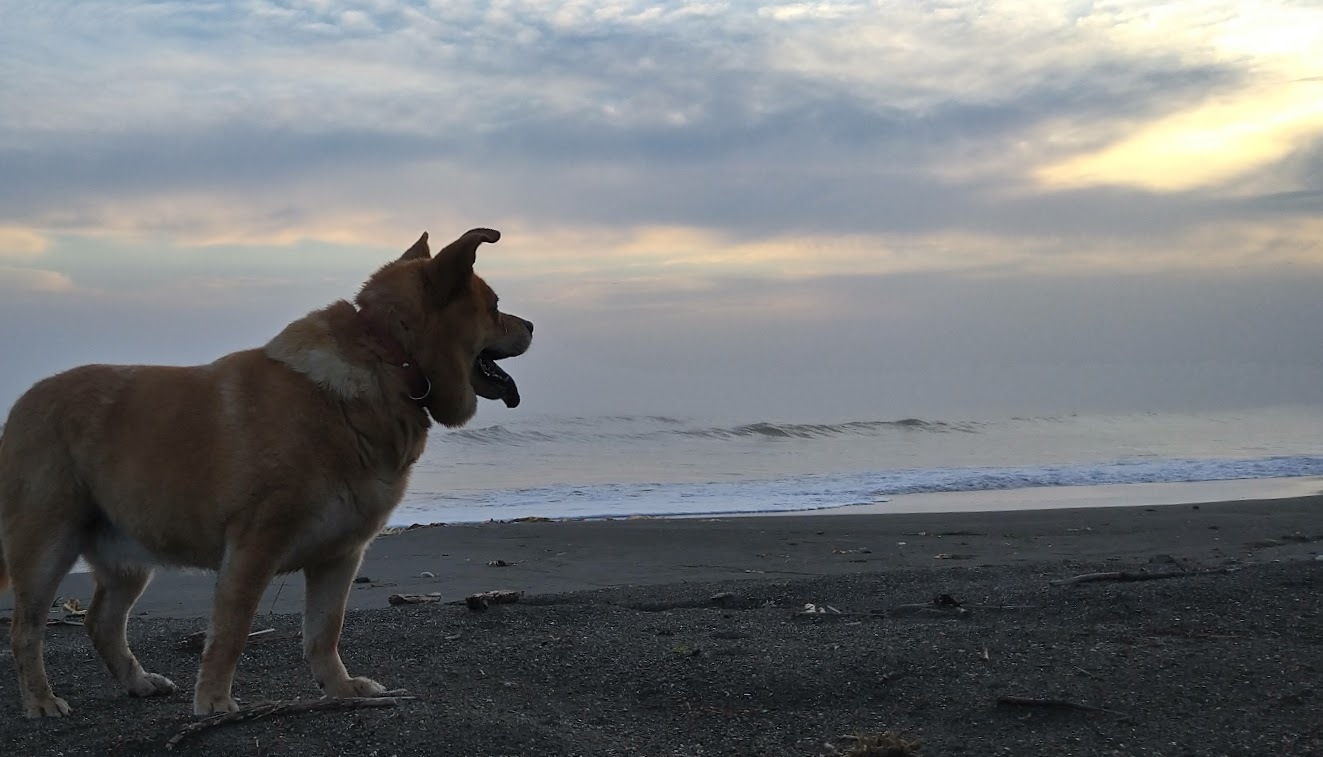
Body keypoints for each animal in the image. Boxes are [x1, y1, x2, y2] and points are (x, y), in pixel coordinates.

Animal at [0, 227, 531, 719]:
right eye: (495, 307)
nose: (530, 324)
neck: (388, 359)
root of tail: (21, 403)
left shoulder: (340, 556)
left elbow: (325, 631)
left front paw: (339, 688)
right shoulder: (253, 546)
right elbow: (232, 632)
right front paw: (214, 700)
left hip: (129, 554)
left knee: (102, 622)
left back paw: (137, 681)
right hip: (48, 544)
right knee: (25, 630)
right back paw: (40, 700)